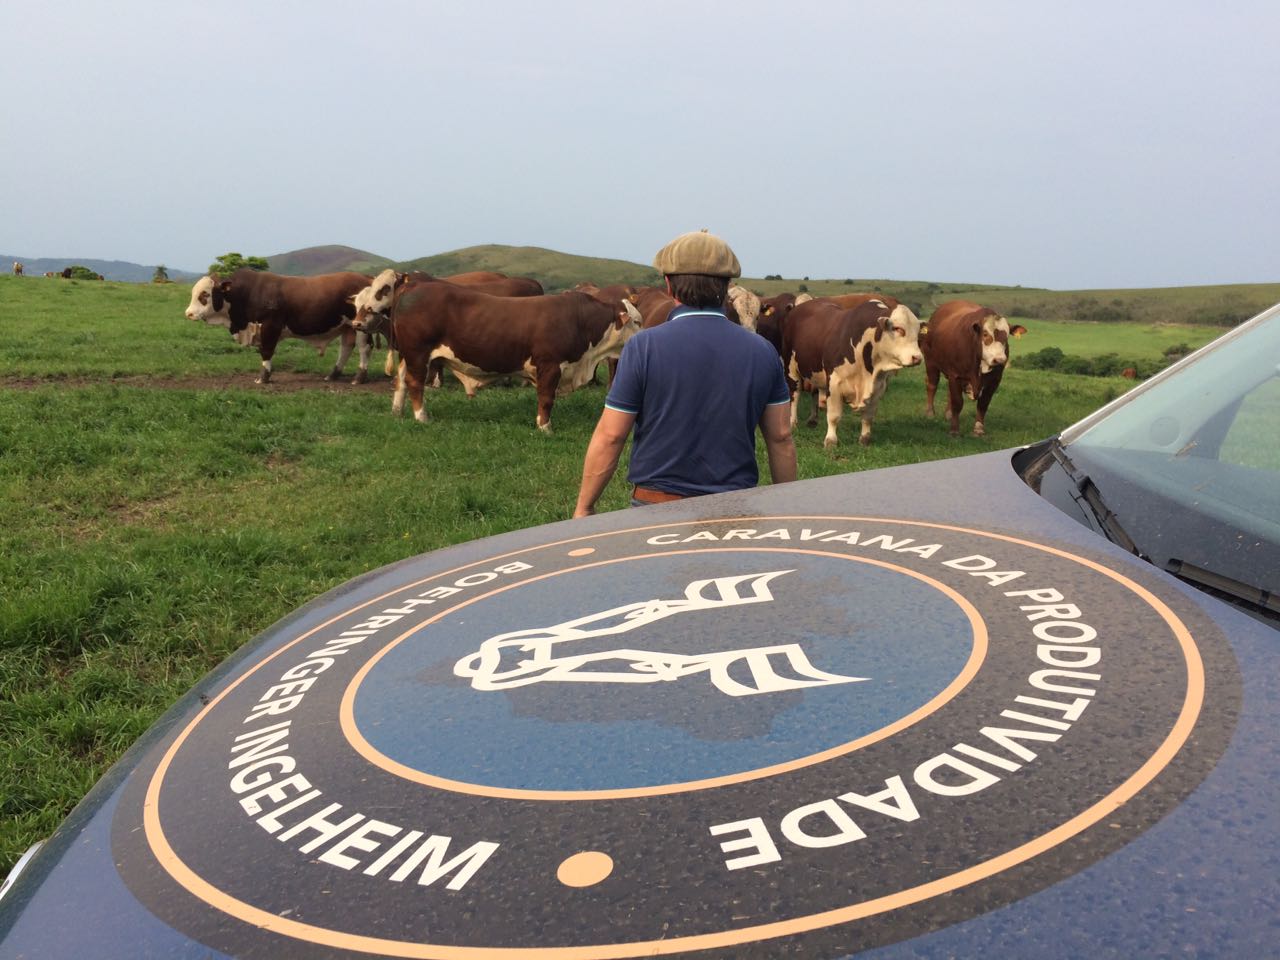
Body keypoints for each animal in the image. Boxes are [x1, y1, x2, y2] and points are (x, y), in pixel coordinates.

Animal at [185, 271, 373, 384]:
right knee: (346, 348)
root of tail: (366, 277)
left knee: (364, 348)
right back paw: (333, 375)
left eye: (205, 294)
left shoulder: (270, 326)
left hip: (360, 326)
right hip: (347, 327)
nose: (189, 314)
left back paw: (359, 378)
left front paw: (263, 378)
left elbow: (266, 351)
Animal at [355, 281, 640, 432]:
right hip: (418, 353)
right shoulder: (549, 366)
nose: (646, 332)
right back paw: (421, 417)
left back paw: (397, 412)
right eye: (637, 321)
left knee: (400, 381)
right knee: (414, 383)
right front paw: (544, 427)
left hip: (408, 355)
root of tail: (414, 284)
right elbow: (546, 399)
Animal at [778, 296, 921, 448]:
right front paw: (831, 440)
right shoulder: (834, 383)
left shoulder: (878, 386)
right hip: (791, 368)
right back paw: (792, 422)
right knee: (795, 394)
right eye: (898, 328)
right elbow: (834, 416)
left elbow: (868, 416)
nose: (917, 358)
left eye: (917, 332)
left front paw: (865, 439)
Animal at [921, 300, 1029, 440]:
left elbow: (983, 404)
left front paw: (978, 430)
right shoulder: (956, 375)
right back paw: (930, 413)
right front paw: (954, 430)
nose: (999, 360)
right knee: (932, 386)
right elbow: (957, 402)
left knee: (949, 392)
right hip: (930, 363)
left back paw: (948, 414)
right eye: (985, 334)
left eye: (1007, 336)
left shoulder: (994, 381)